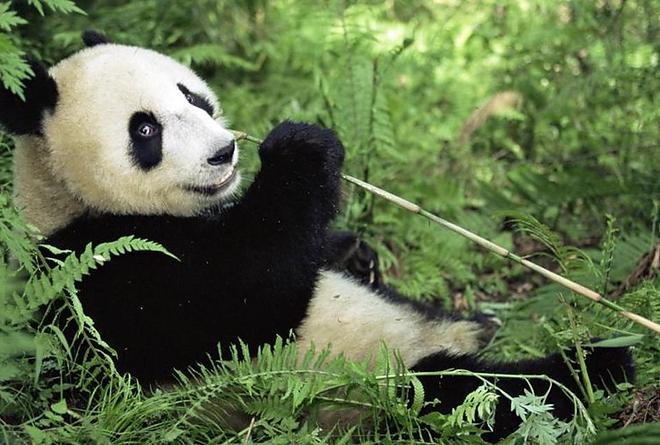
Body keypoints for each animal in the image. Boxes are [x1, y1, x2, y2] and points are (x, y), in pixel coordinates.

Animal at [0, 31, 634, 441]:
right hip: (373, 387)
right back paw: (598, 367)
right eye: (145, 130)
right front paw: (301, 149)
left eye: (192, 96)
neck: (64, 196)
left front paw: (356, 250)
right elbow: (245, 295)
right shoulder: (99, 273)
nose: (225, 152)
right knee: (480, 394)